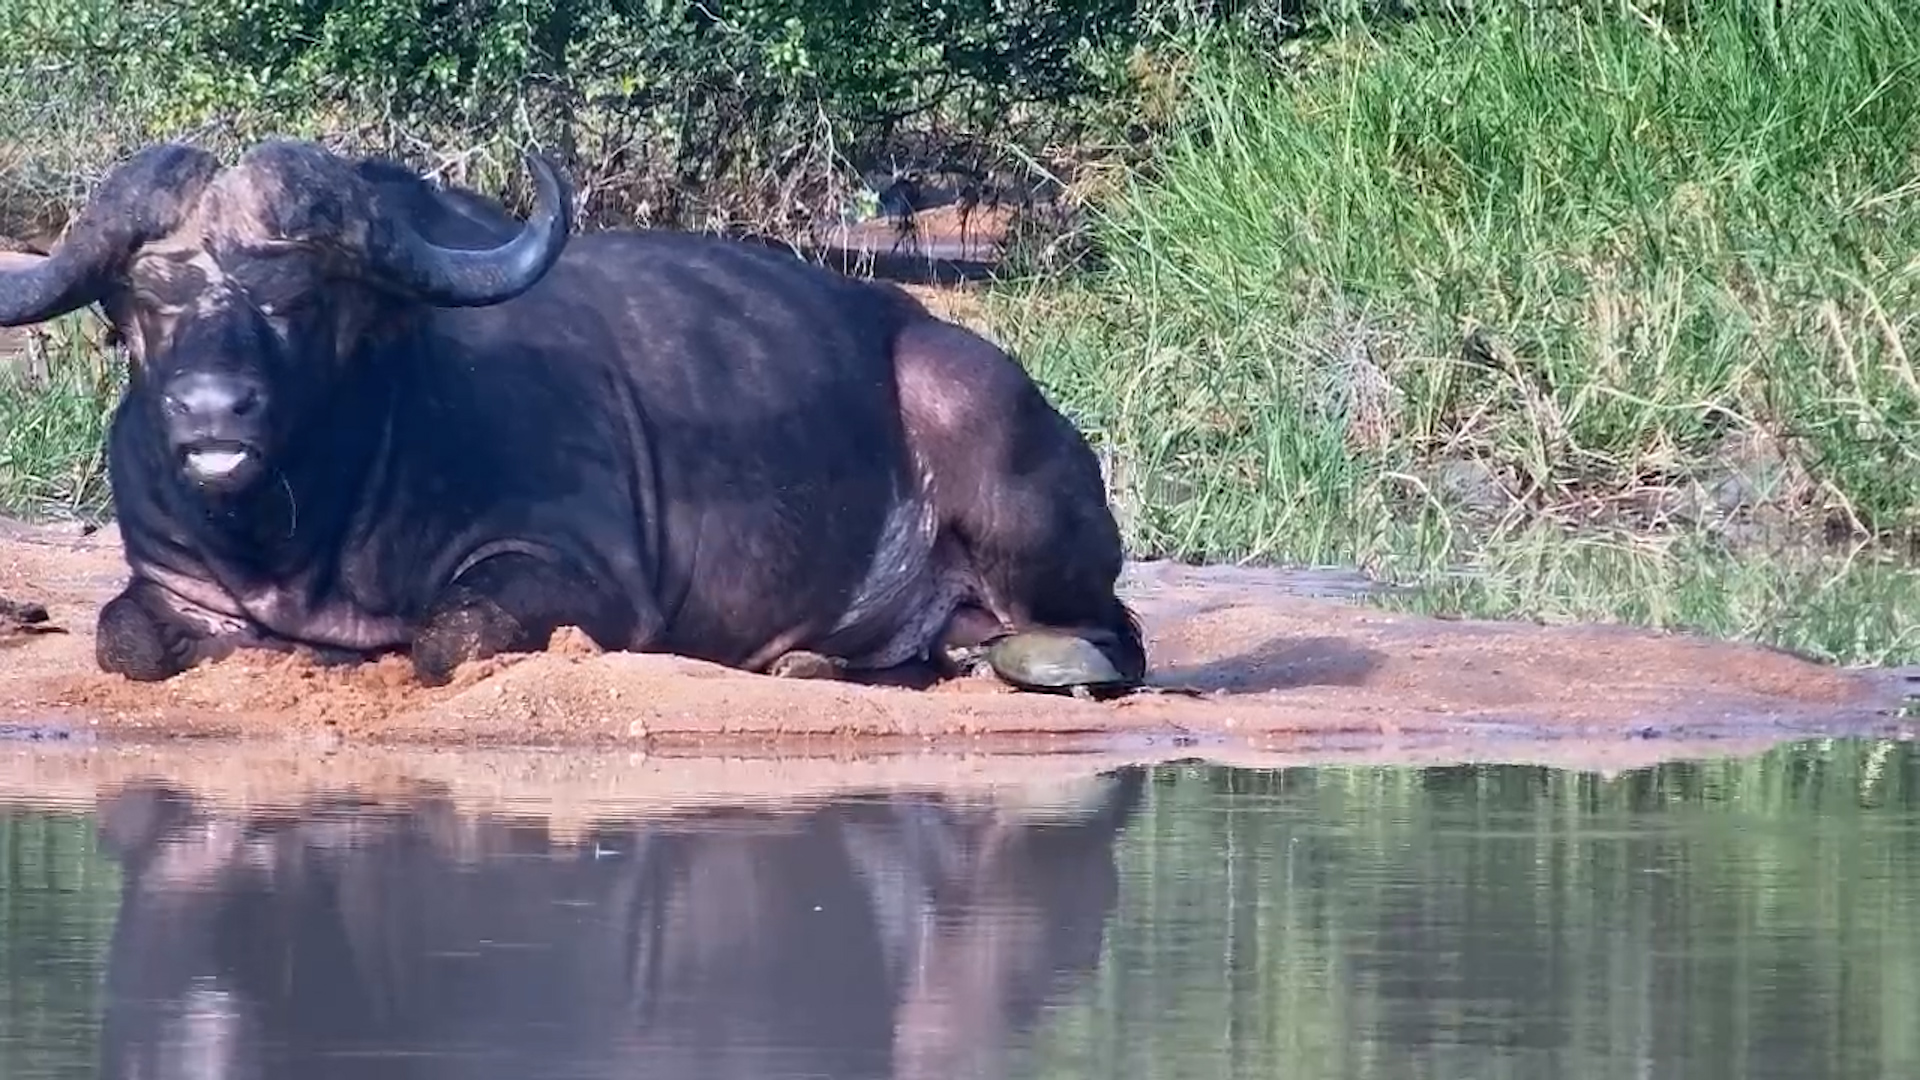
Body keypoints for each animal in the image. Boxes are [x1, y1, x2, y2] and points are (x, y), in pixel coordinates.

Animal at [0, 140, 1146, 692]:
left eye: (300, 298)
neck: (299, 526)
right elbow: (120, 638)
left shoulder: (578, 579)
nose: (211, 411)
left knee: (1115, 633)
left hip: (984, 429)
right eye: (146, 298)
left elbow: (447, 636)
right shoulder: (170, 579)